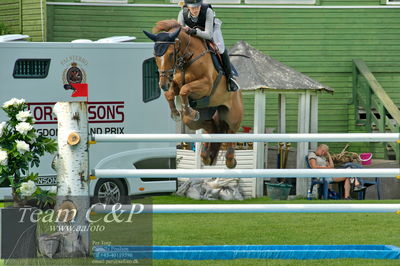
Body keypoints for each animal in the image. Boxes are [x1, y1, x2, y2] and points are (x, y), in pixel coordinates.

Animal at [144, 19, 244, 168]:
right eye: (155, 55)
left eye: (171, 54)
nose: (163, 85)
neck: (187, 58)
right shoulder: (175, 82)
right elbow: (171, 94)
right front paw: (176, 113)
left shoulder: (206, 85)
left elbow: (185, 89)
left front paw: (188, 110)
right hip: (198, 119)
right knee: (211, 127)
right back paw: (206, 155)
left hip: (233, 115)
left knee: (231, 131)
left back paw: (231, 160)